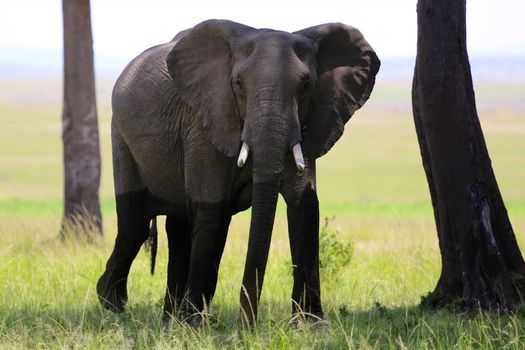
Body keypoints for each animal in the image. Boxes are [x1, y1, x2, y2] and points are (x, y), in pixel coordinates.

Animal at [97, 18, 376, 326]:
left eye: (306, 85)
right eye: (238, 85)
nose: (248, 325)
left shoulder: (308, 123)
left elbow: (303, 203)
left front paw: (312, 326)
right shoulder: (204, 120)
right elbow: (211, 208)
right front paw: (196, 326)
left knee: (178, 226)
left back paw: (170, 319)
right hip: (120, 136)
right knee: (135, 223)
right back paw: (113, 304)